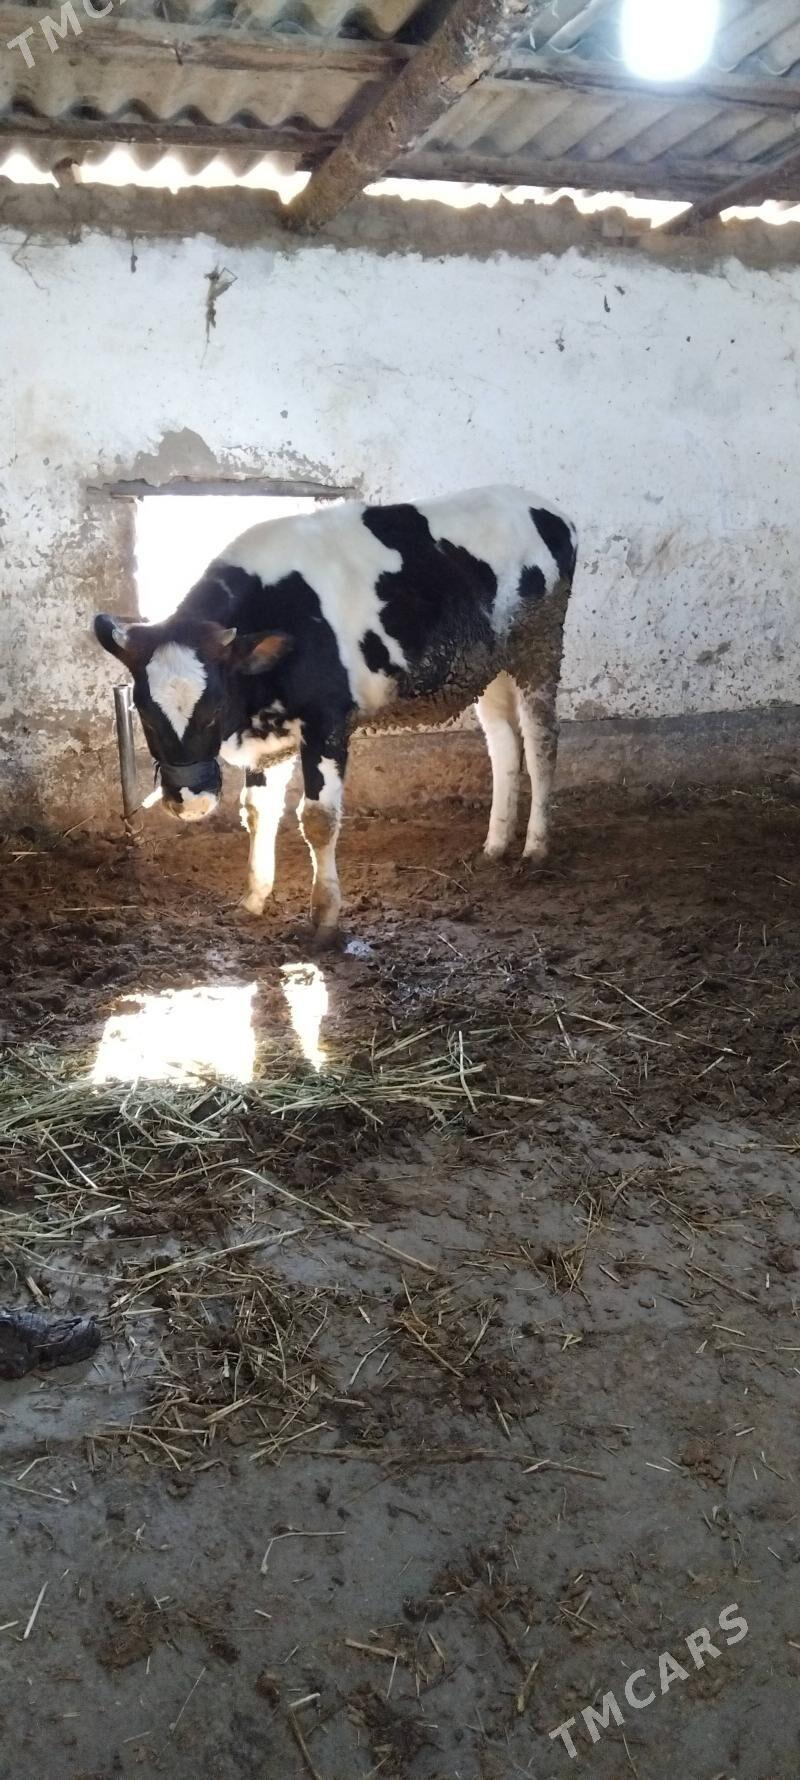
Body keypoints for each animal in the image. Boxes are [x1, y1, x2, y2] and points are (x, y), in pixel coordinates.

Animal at [95, 486, 577, 943]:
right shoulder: (268, 738)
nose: (191, 803)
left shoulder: (326, 720)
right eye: (144, 712)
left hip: (538, 646)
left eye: (214, 708)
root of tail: (545, 506)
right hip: (488, 665)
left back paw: (535, 848)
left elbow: (318, 820)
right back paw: (495, 844)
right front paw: (254, 898)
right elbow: (257, 812)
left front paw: (324, 919)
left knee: (541, 743)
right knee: (503, 745)